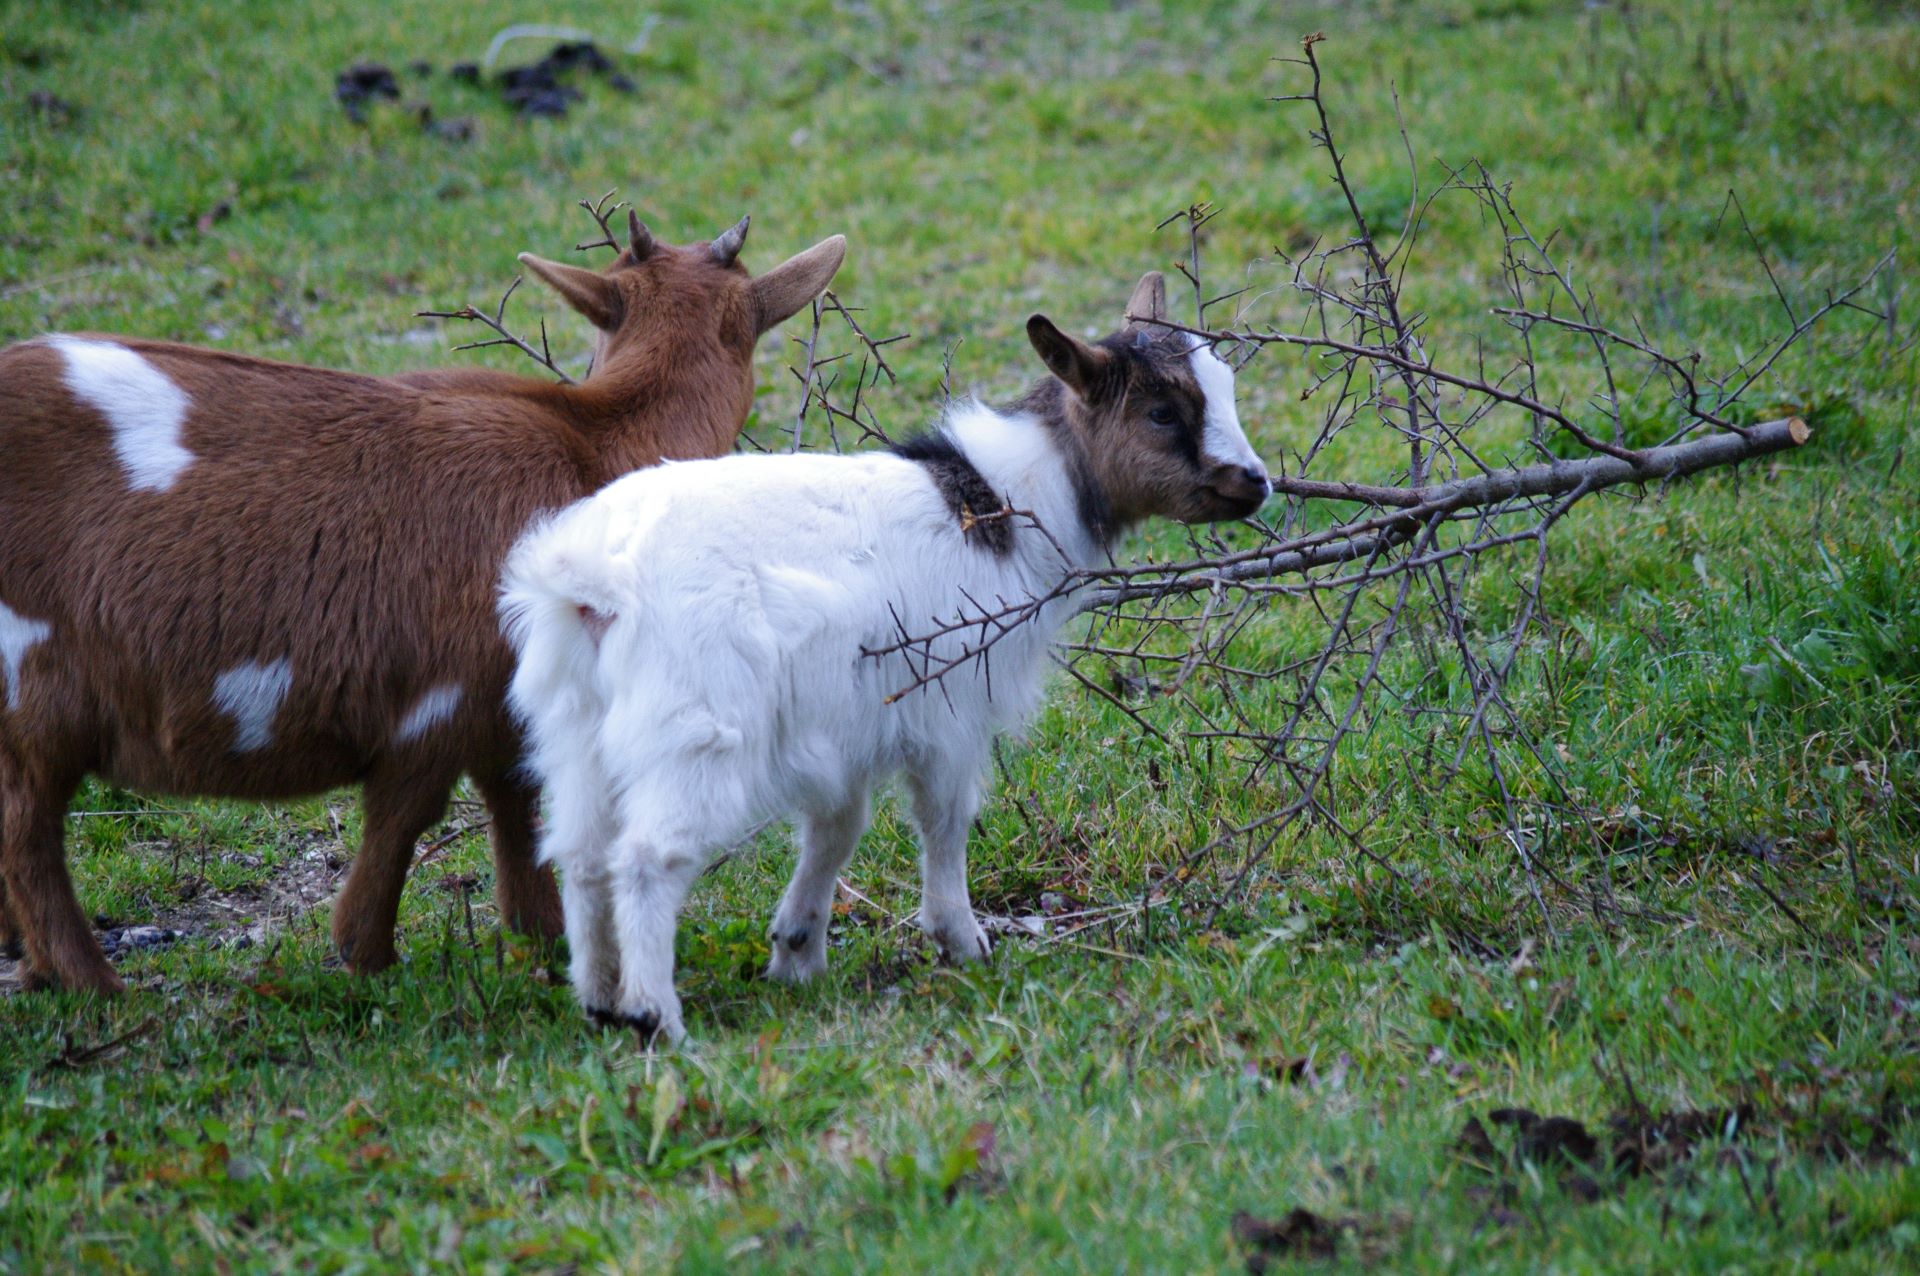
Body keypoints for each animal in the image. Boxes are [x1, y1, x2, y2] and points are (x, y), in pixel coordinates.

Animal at [0, 213, 844, 990]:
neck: (588, 448)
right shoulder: (440, 697)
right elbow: (410, 814)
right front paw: (367, 952)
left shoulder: (506, 701)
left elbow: (515, 801)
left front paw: (539, 932)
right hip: (32, 683)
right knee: (26, 828)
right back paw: (90, 982)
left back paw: (37, 966)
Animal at [503, 274, 1267, 1043]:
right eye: (1161, 412)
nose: (1256, 483)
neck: (1008, 506)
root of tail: (597, 577)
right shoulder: (950, 705)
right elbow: (945, 818)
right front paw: (962, 941)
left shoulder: (848, 723)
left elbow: (837, 828)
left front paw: (798, 954)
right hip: (694, 728)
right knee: (645, 857)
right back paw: (656, 1015)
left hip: (577, 728)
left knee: (582, 854)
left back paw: (601, 998)